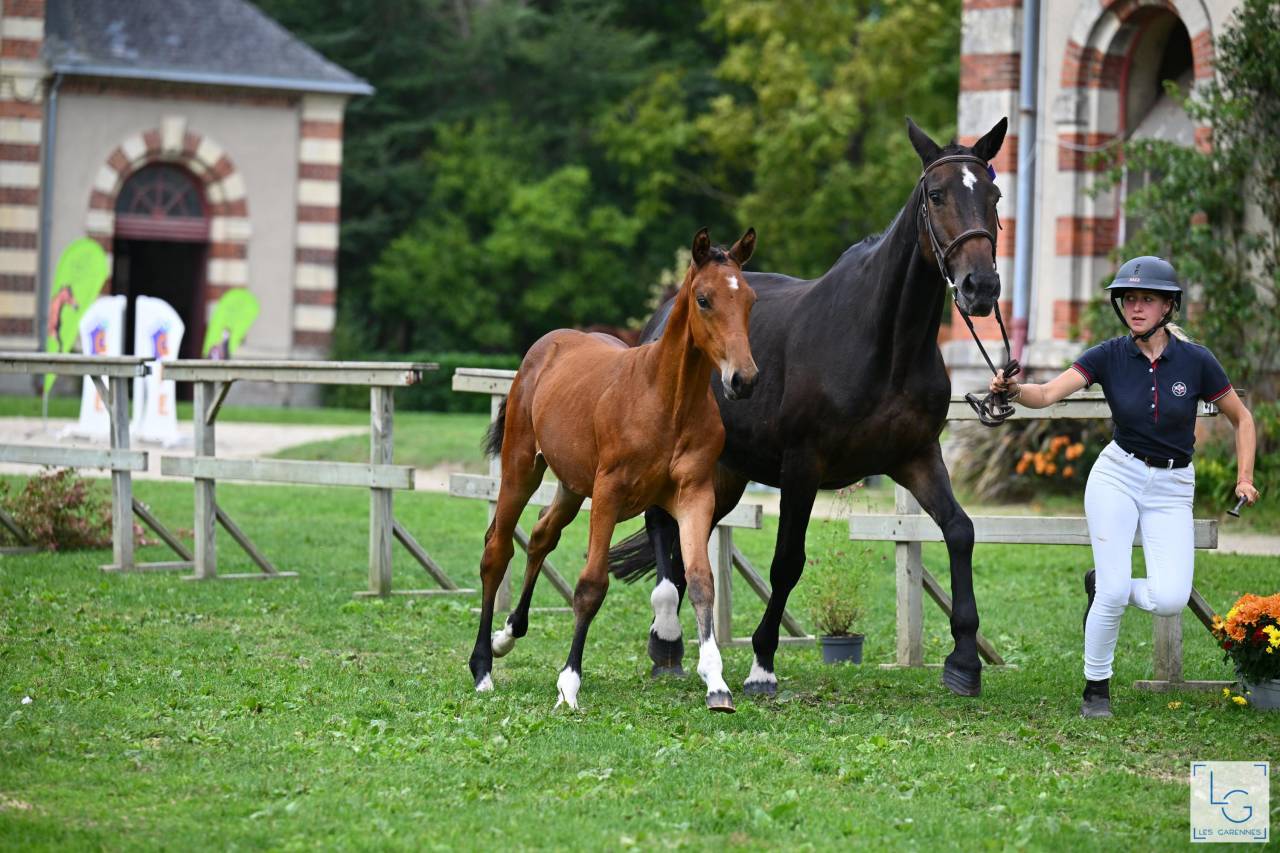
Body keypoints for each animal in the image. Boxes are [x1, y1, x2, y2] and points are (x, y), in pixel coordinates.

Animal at [468, 227, 760, 712]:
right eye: (704, 299)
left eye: (750, 300)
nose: (744, 379)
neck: (667, 400)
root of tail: (546, 345)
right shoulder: (609, 493)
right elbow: (591, 585)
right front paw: (569, 684)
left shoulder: (695, 494)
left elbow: (701, 580)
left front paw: (716, 682)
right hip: (521, 469)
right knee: (497, 549)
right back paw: (482, 667)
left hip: (571, 486)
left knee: (542, 535)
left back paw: (506, 635)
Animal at [609, 117, 1008, 699]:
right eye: (936, 195)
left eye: (994, 197)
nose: (981, 287)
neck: (883, 343)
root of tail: (661, 318)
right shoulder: (803, 466)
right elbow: (786, 564)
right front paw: (761, 665)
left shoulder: (916, 458)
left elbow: (960, 531)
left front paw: (964, 661)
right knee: (663, 526)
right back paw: (666, 636)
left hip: (727, 475)